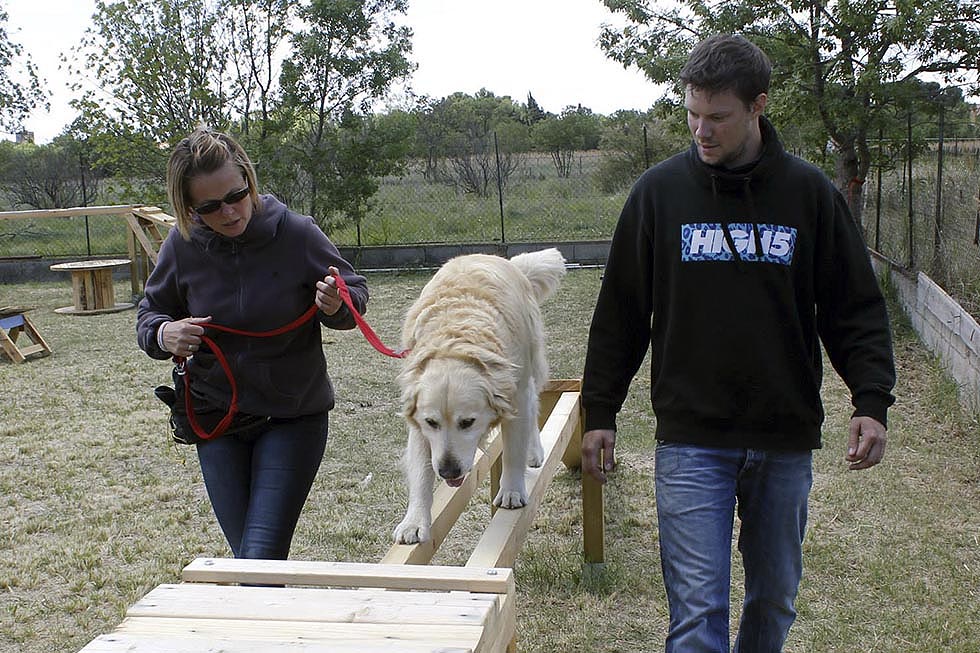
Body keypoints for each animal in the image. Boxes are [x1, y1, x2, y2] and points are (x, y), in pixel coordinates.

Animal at [392, 247, 568, 544]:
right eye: (432, 423)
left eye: (467, 422)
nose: (448, 471)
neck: (455, 343)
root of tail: (499, 258)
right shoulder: (417, 420)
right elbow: (421, 472)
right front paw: (413, 521)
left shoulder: (515, 395)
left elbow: (513, 449)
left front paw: (511, 491)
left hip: (532, 362)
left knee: (534, 404)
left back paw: (534, 451)